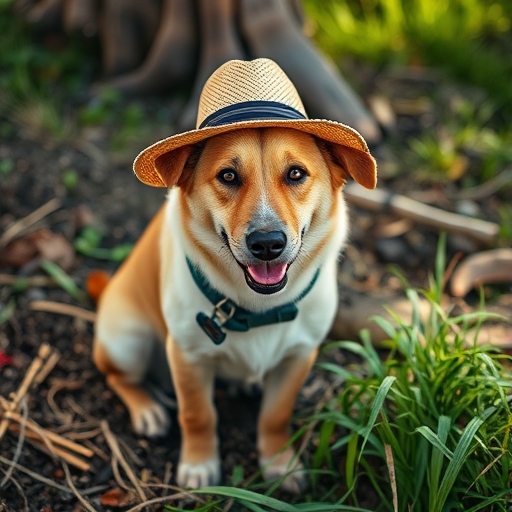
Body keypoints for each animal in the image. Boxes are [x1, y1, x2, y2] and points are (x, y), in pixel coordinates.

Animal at [93, 58, 376, 494]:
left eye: (296, 174)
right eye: (228, 176)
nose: (267, 243)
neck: (260, 307)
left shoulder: (299, 355)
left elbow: (276, 417)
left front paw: (280, 465)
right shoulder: (188, 357)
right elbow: (198, 415)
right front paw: (199, 465)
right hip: (128, 341)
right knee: (114, 375)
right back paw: (148, 410)